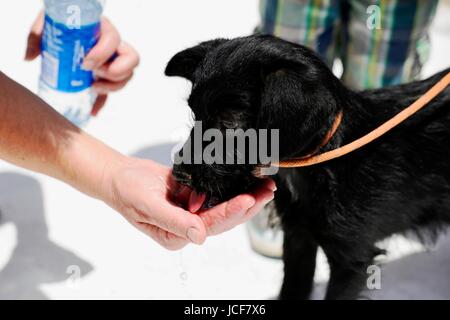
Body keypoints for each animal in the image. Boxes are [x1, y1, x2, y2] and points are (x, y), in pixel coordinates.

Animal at [165, 35, 450, 300]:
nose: (179, 174)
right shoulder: (297, 238)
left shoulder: (352, 259)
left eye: (229, 122)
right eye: (195, 114)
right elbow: (293, 286)